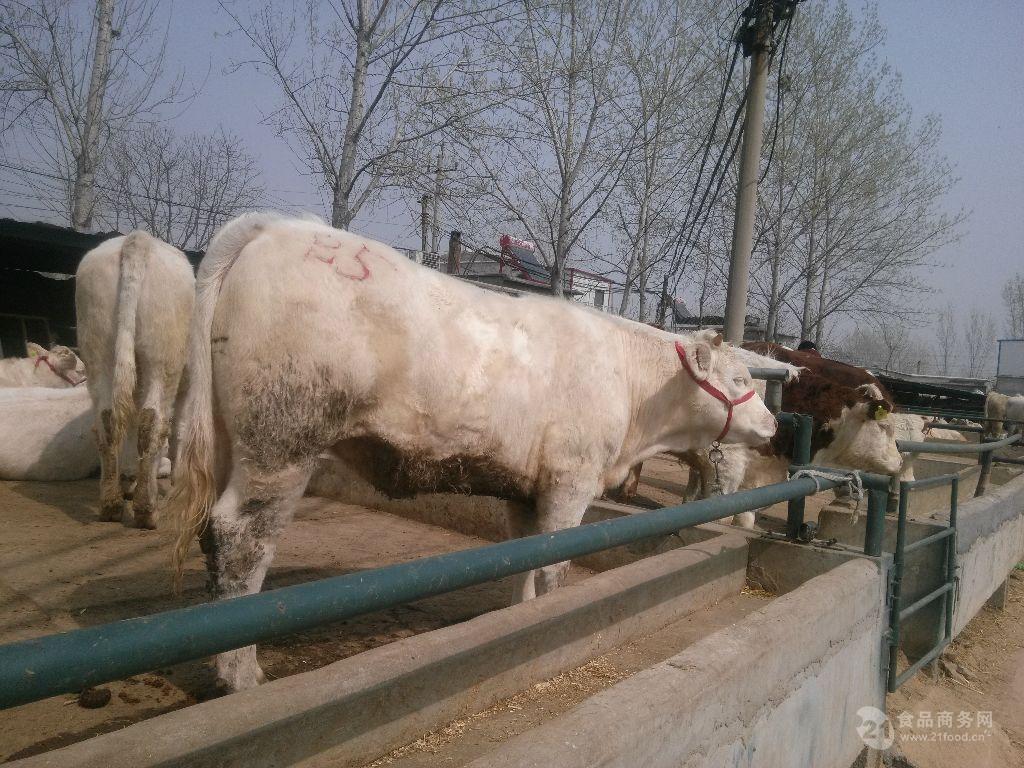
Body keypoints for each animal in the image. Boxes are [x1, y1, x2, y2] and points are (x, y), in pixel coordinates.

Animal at [75, 228, 193, 528]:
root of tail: (137, 239)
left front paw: (128, 480)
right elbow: (179, 430)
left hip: (98, 348)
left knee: (108, 420)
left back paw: (111, 504)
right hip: (163, 356)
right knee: (153, 423)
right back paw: (146, 510)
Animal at [167, 214, 774, 696]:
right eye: (742, 378)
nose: (771, 424)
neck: (630, 388)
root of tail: (276, 225)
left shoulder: (526, 488)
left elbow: (526, 555)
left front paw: (519, 618)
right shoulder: (571, 479)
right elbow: (553, 564)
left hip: (230, 441)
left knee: (213, 533)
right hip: (283, 439)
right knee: (242, 537)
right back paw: (241, 675)